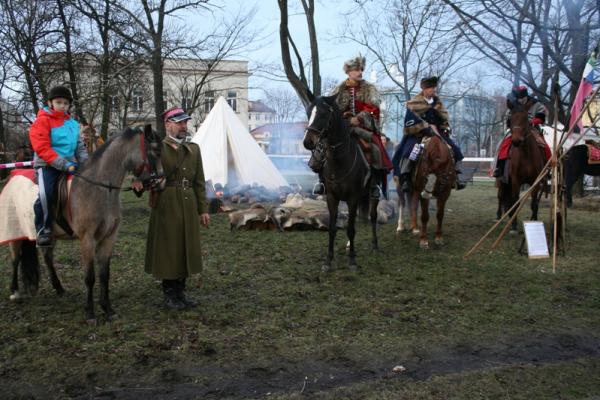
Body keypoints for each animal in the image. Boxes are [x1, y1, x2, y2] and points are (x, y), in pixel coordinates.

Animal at [302, 94, 378, 272]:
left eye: (323, 114)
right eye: (309, 113)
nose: (308, 142)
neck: (339, 161)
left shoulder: (352, 198)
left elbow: (350, 229)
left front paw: (352, 261)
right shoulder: (332, 197)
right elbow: (332, 229)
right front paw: (328, 261)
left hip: (373, 193)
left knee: (373, 216)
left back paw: (374, 245)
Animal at [496, 99, 548, 233]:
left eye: (525, 118)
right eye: (511, 119)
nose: (516, 140)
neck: (526, 154)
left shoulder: (535, 181)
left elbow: (534, 202)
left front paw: (534, 220)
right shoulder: (515, 180)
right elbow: (516, 201)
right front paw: (514, 226)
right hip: (501, 180)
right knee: (501, 196)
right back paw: (499, 216)